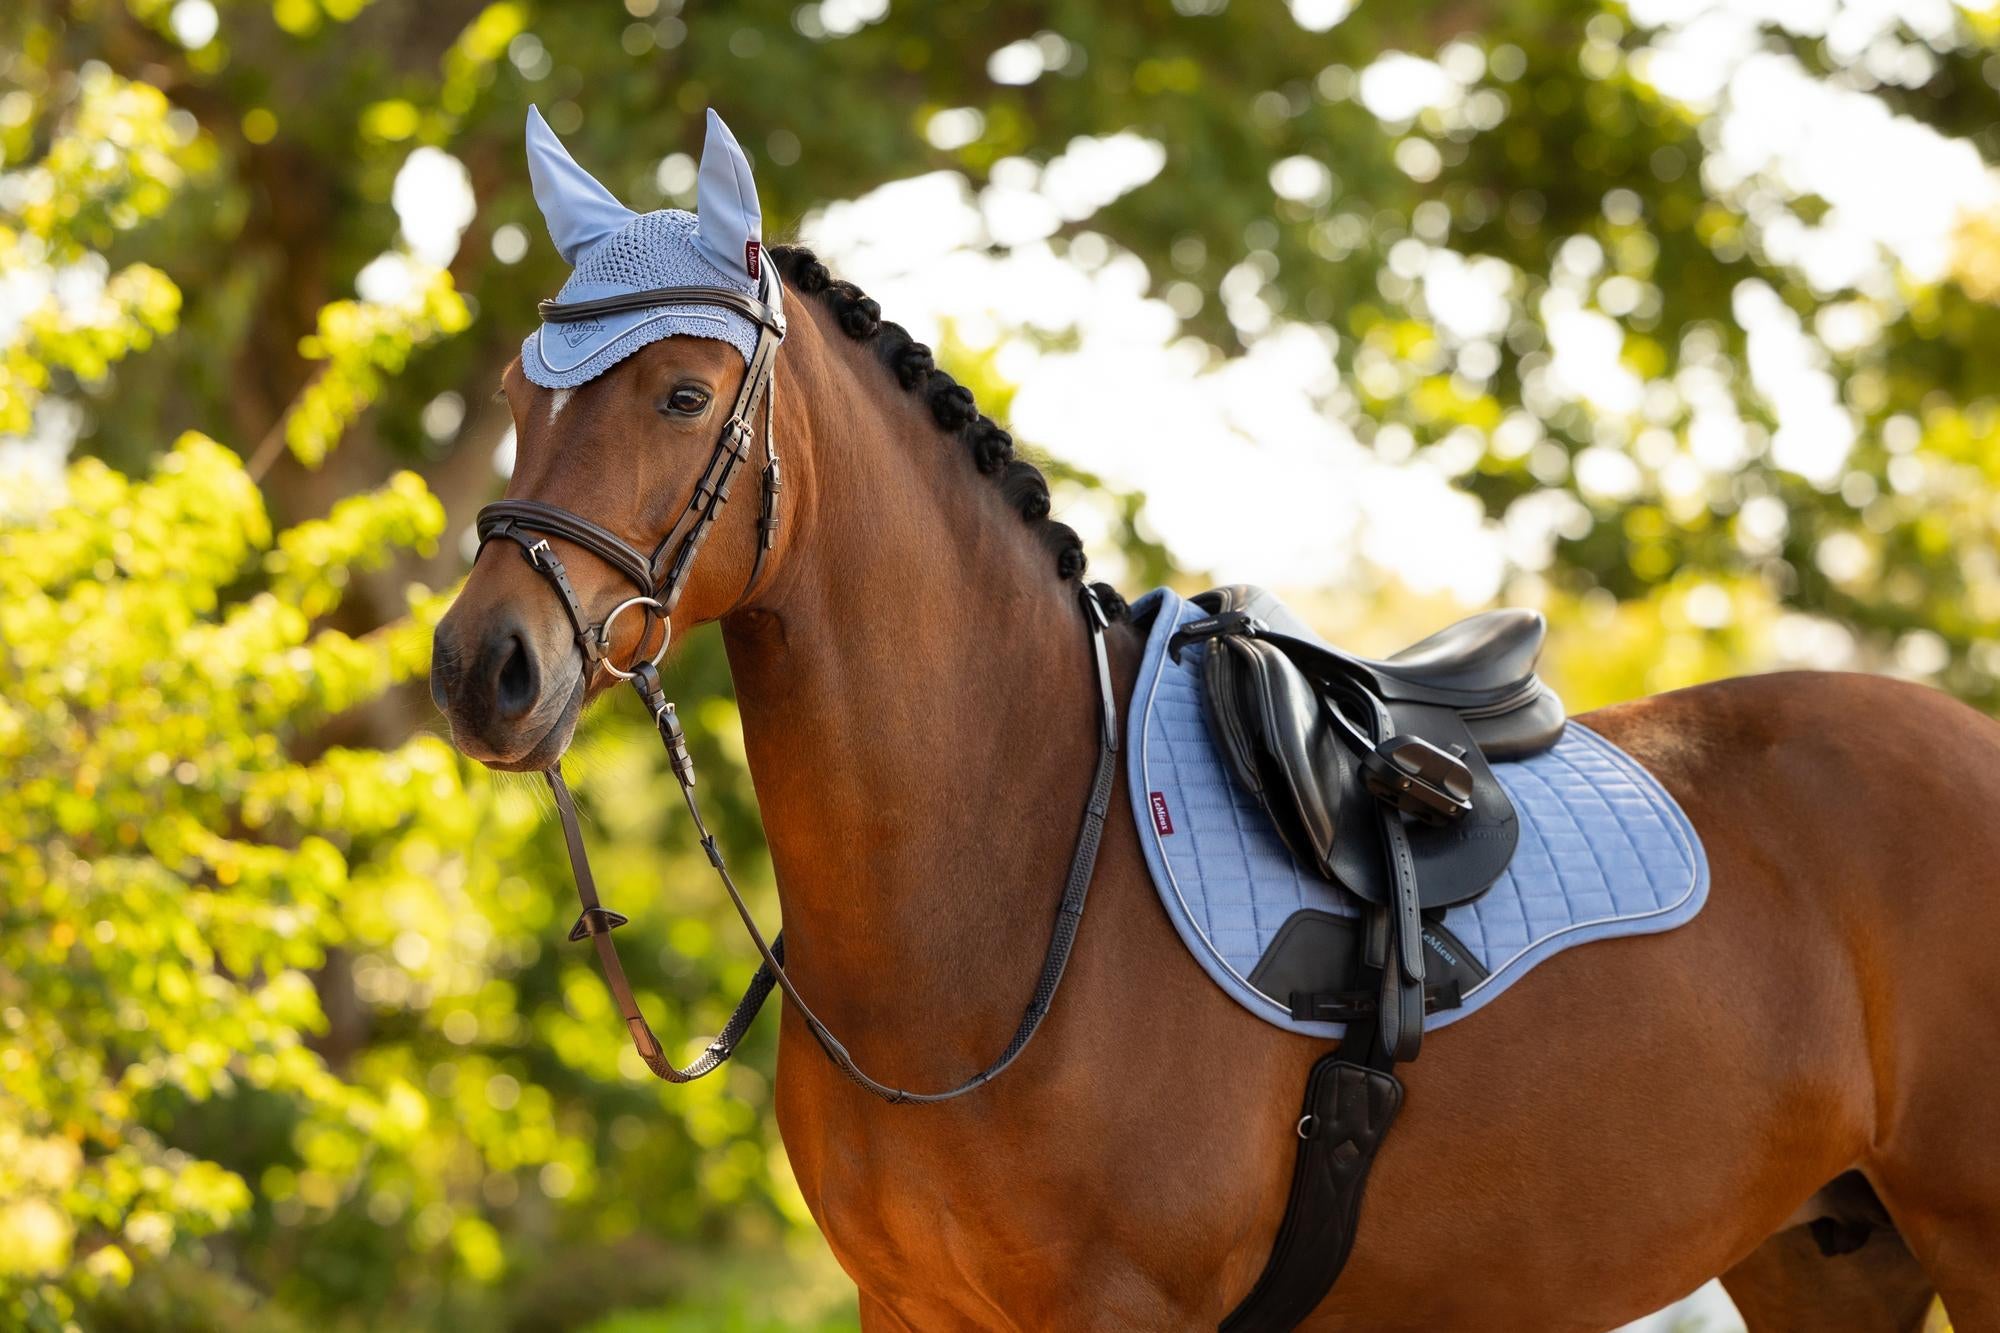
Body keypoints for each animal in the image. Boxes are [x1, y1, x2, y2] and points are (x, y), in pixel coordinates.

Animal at [429, 237, 1996, 1330]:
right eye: (513, 393)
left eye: (683, 392)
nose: (480, 666)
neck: (1008, 879)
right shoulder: (911, 1304)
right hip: (1825, 1254)